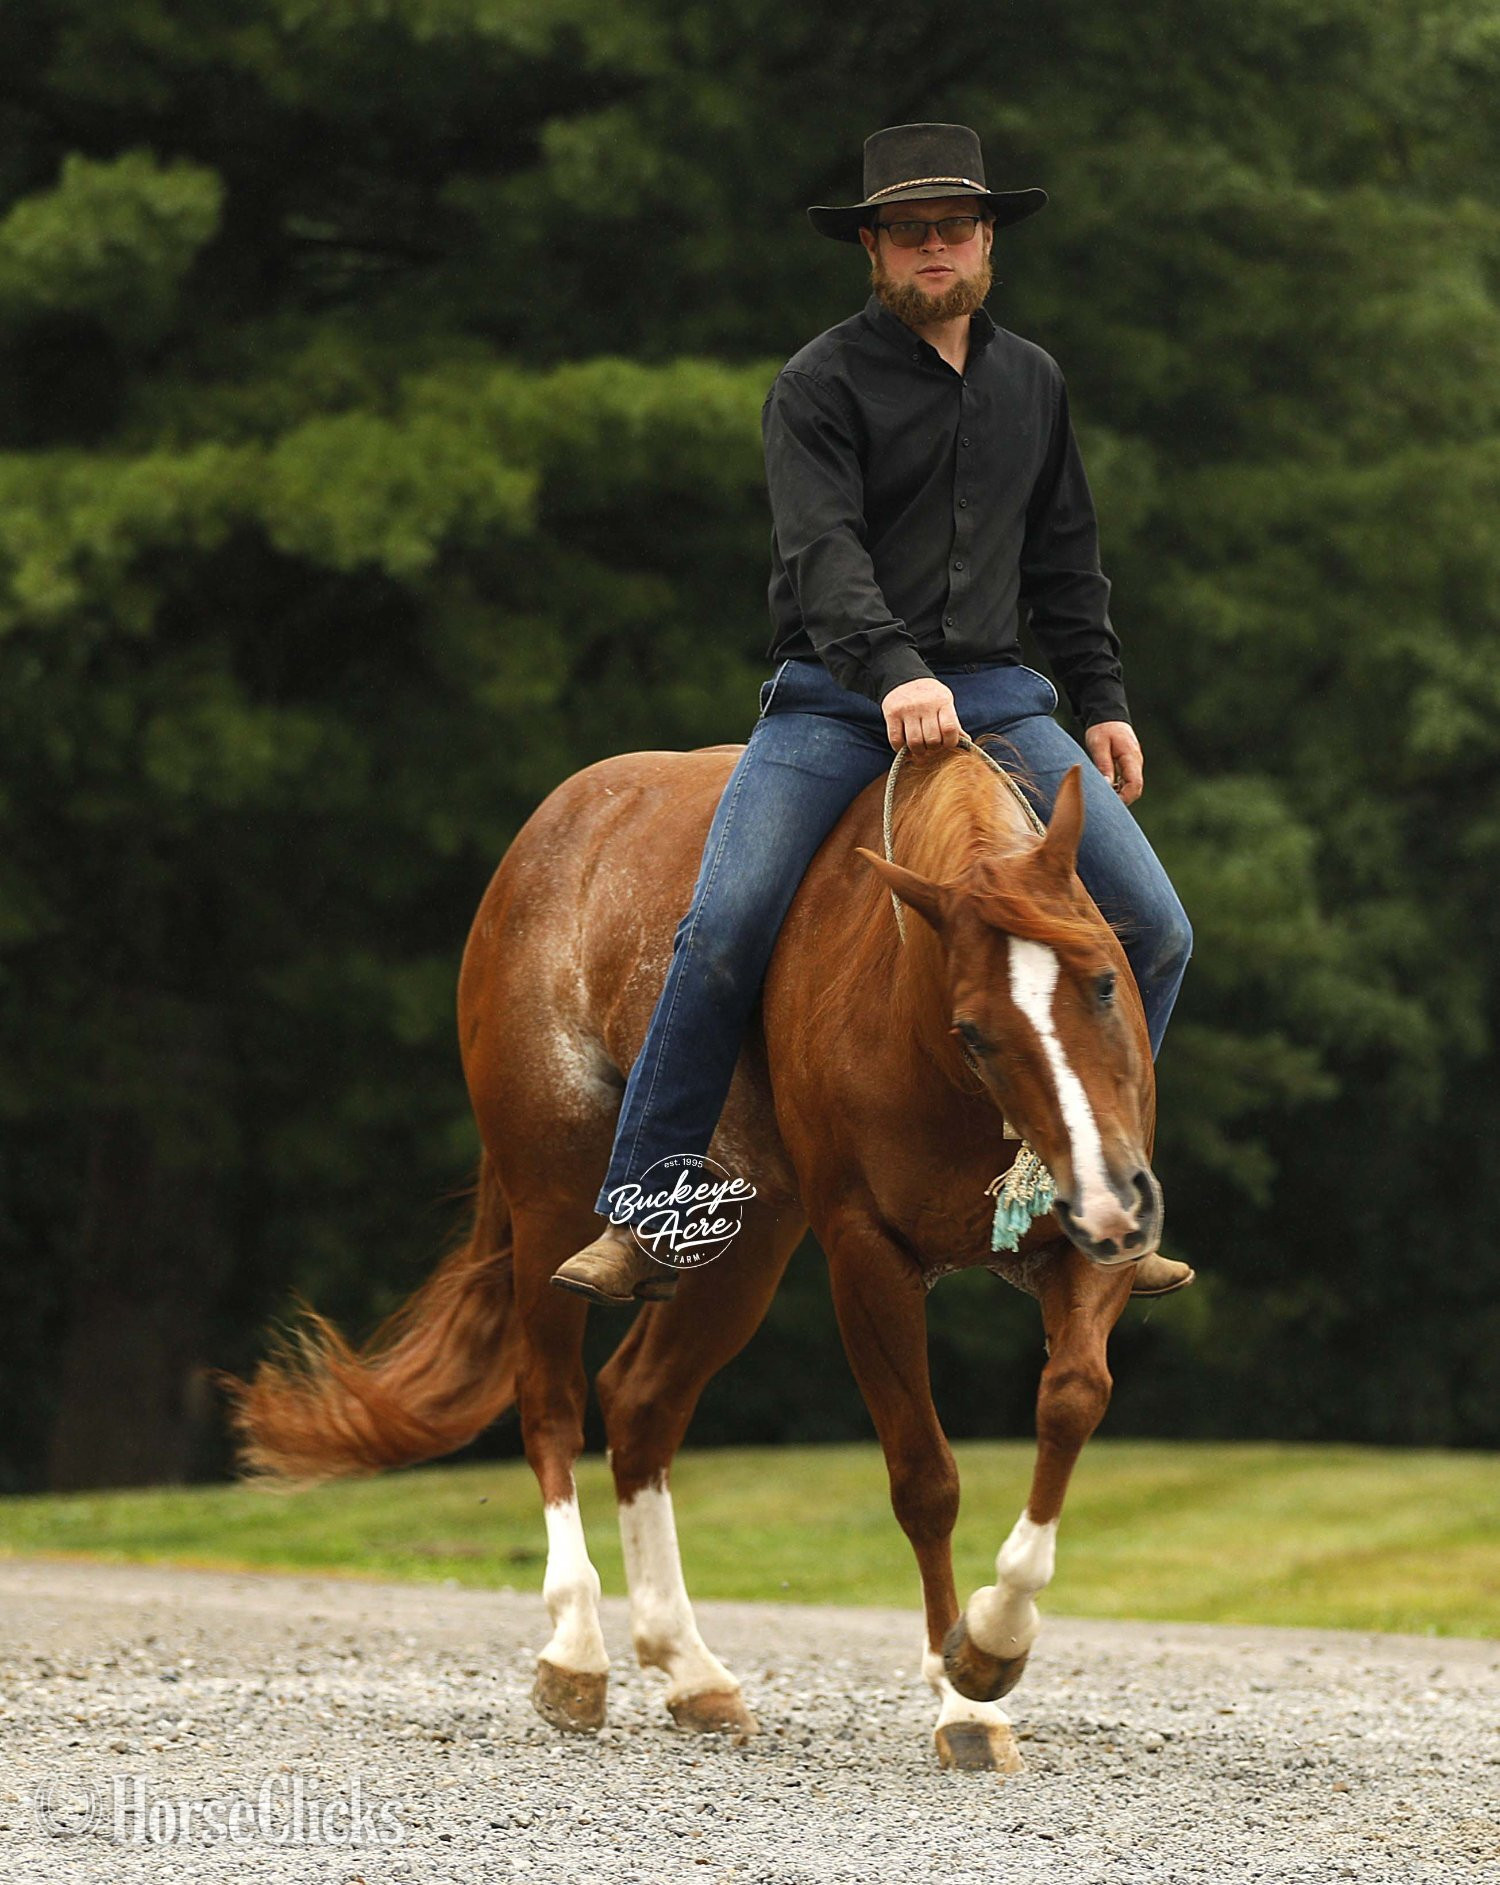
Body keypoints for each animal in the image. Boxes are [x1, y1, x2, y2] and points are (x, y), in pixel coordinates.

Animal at [224, 735, 1162, 1774]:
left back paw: (689, 1668)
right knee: (551, 1401)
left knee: (641, 1405)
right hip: (550, 1198)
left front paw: (994, 1638)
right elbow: (925, 1477)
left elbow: (1071, 1400)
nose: (1113, 1196)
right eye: (974, 1030)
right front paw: (966, 1693)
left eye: (1104, 981)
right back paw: (576, 1650)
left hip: (741, 1241)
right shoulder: (866, 1259)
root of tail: (551, 830)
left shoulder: (1085, 1243)